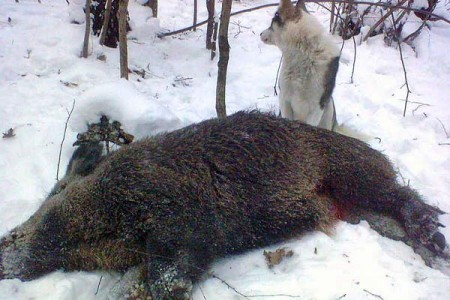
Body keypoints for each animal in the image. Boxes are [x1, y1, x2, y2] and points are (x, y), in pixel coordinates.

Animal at [0, 111, 446, 298]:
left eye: (56, 193)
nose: (7, 242)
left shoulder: (177, 214)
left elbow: (171, 269)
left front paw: (163, 289)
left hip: (354, 172)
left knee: (401, 196)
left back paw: (432, 231)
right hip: (360, 210)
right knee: (392, 222)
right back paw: (435, 248)